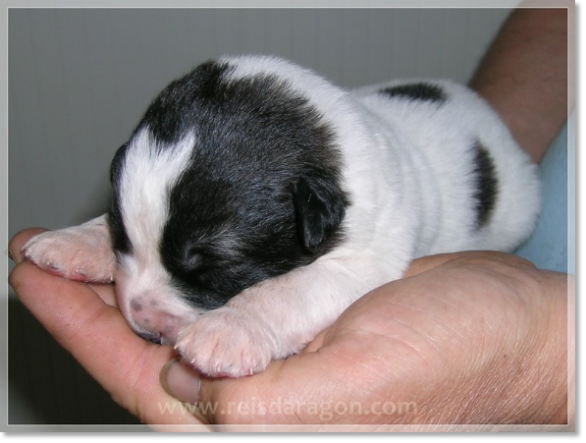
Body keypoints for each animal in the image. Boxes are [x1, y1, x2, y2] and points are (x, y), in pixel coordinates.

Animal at [21, 53, 540, 376]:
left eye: (218, 265)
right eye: (122, 238)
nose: (146, 329)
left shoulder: (363, 261)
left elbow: (285, 291)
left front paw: (228, 331)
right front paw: (75, 241)